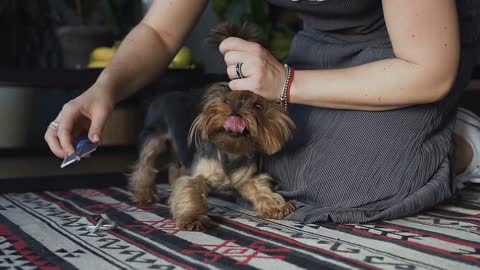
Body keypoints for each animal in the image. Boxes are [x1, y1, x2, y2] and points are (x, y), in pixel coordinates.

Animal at [127, 22, 296, 231]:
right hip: (154, 137)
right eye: (226, 101)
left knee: (175, 166)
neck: (229, 150)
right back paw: (145, 194)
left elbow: (260, 187)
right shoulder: (197, 175)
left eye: (257, 106)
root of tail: (161, 95)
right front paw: (193, 218)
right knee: (145, 164)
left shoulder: (247, 179)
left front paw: (276, 205)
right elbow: (190, 191)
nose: (236, 113)